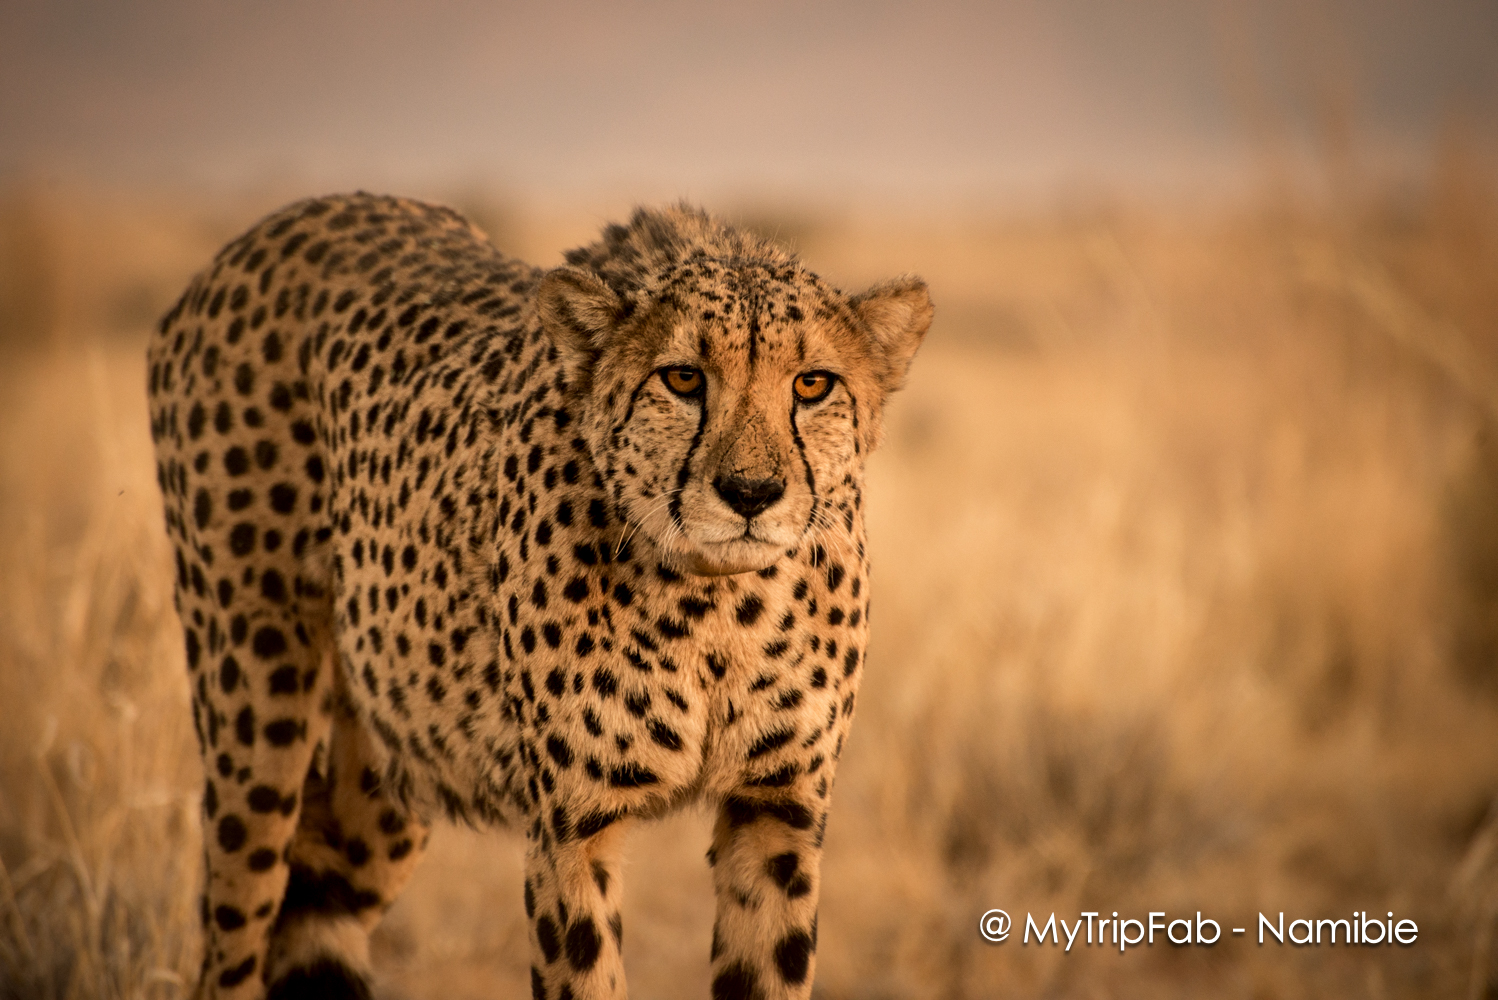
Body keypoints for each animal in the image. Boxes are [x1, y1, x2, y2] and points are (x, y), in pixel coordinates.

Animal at [146, 192, 932, 1000]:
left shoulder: (776, 812)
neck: (720, 607)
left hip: (394, 761)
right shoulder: (571, 824)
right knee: (232, 942)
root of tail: (293, 217)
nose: (750, 492)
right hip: (257, 717)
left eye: (813, 384)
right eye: (683, 379)